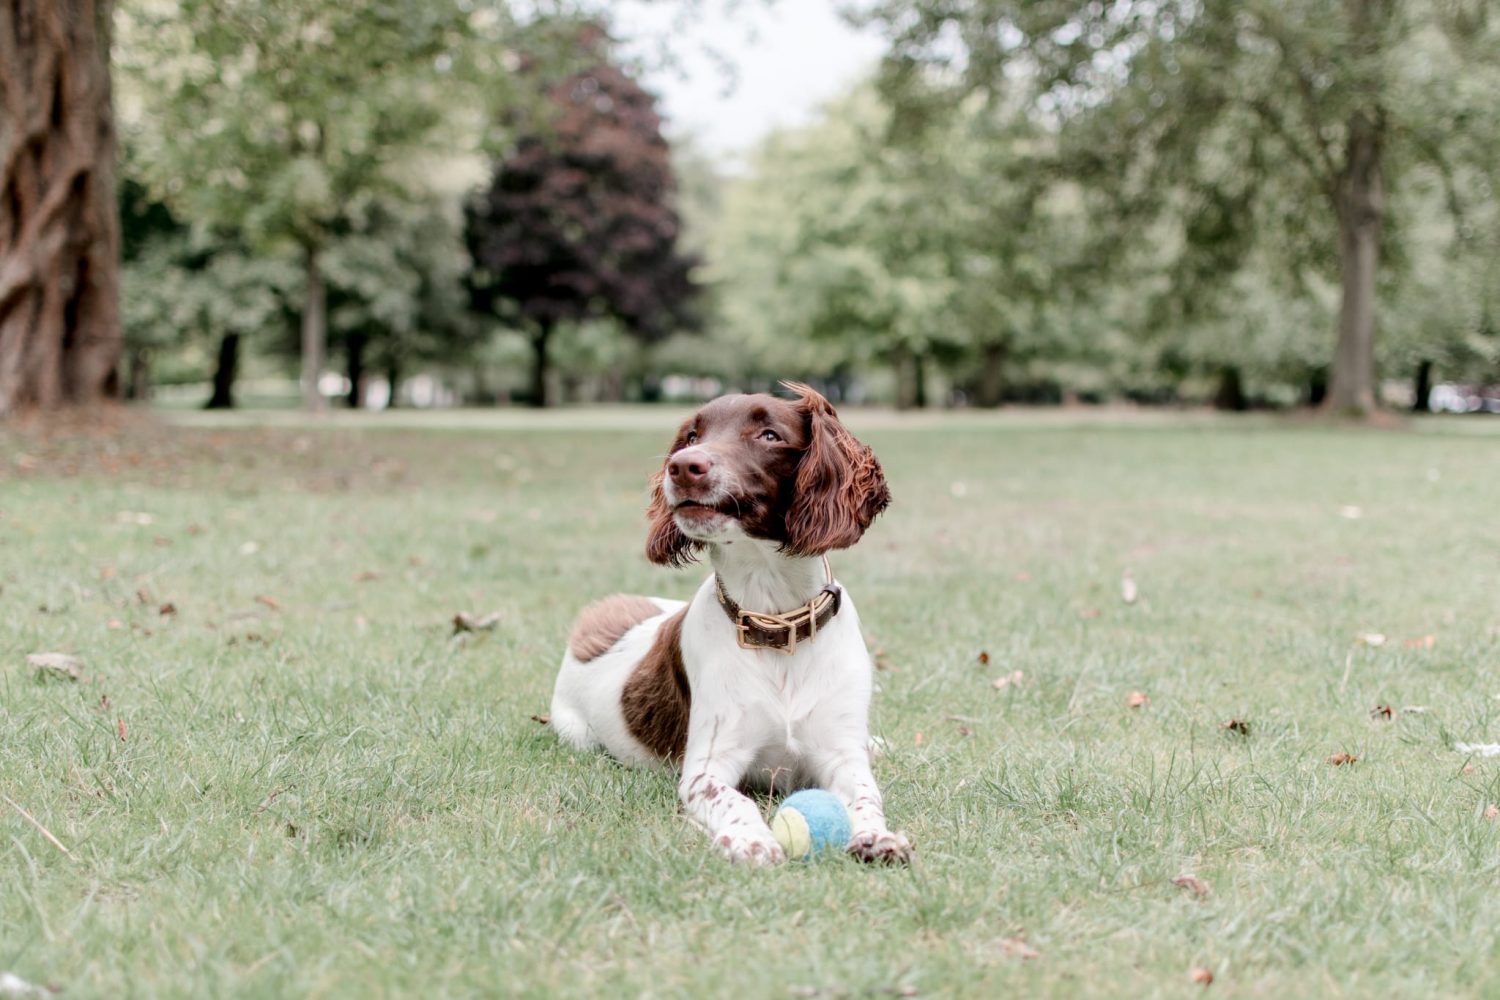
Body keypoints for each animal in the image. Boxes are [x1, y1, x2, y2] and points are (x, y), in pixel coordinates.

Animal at [548, 382, 912, 865]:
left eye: (769, 435)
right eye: (692, 435)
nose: (683, 466)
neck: (776, 624)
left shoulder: (841, 755)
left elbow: (867, 796)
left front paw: (878, 836)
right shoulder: (708, 766)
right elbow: (733, 798)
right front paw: (750, 839)